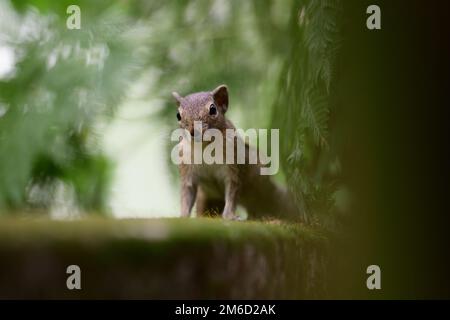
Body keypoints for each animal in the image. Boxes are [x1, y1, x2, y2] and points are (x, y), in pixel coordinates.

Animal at [171, 84, 300, 221]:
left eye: (213, 109)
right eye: (178, 115)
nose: (193, 131)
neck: (204, 147)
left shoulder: (233, 165)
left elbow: (232, 192)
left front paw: (229, 216)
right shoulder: (186, 168)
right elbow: (186, 193)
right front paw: (183, 215)